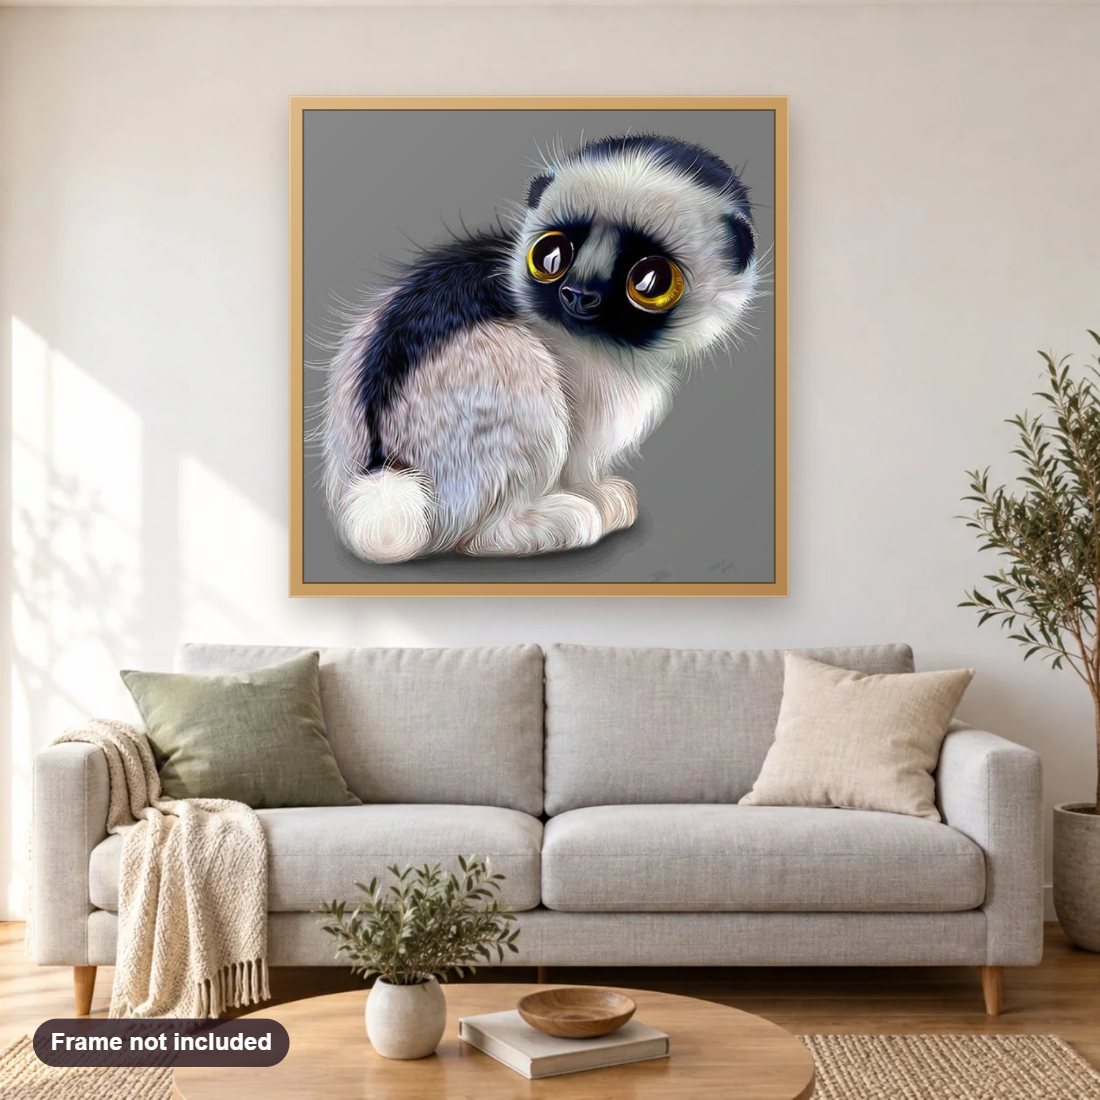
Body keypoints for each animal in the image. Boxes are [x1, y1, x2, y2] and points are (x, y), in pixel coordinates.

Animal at [322, 133, 759, 563]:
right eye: (550, 256)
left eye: (650, 281)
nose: (578, 294)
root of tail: (382, 464)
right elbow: (578, 462)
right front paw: (593, 497)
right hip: (509, 377)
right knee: (476, 538)